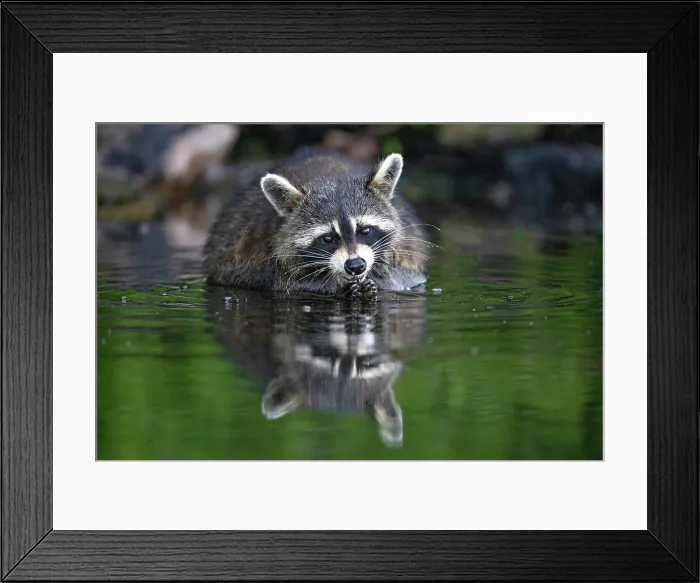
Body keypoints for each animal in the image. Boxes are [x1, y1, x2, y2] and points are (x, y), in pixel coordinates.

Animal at [203, 148, 429, 294]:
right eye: (327, 238)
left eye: (365, 231)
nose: (356, 266)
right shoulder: (261, 262)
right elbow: (291, 285)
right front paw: (334, 285)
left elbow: (405, 279)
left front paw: (381, 281)